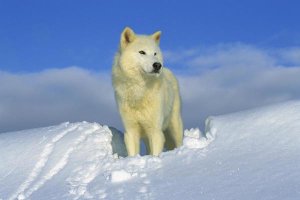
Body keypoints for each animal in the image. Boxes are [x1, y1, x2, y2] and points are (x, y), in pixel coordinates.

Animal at [112, 27, 183, 156]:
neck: (139, 91)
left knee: (179, 142)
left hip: (175, 124)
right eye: (142, 52)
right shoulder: (130, 131)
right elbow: (133, 153)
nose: (158, 65)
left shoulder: (155, 131)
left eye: (155, 53)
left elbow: (155, 153)